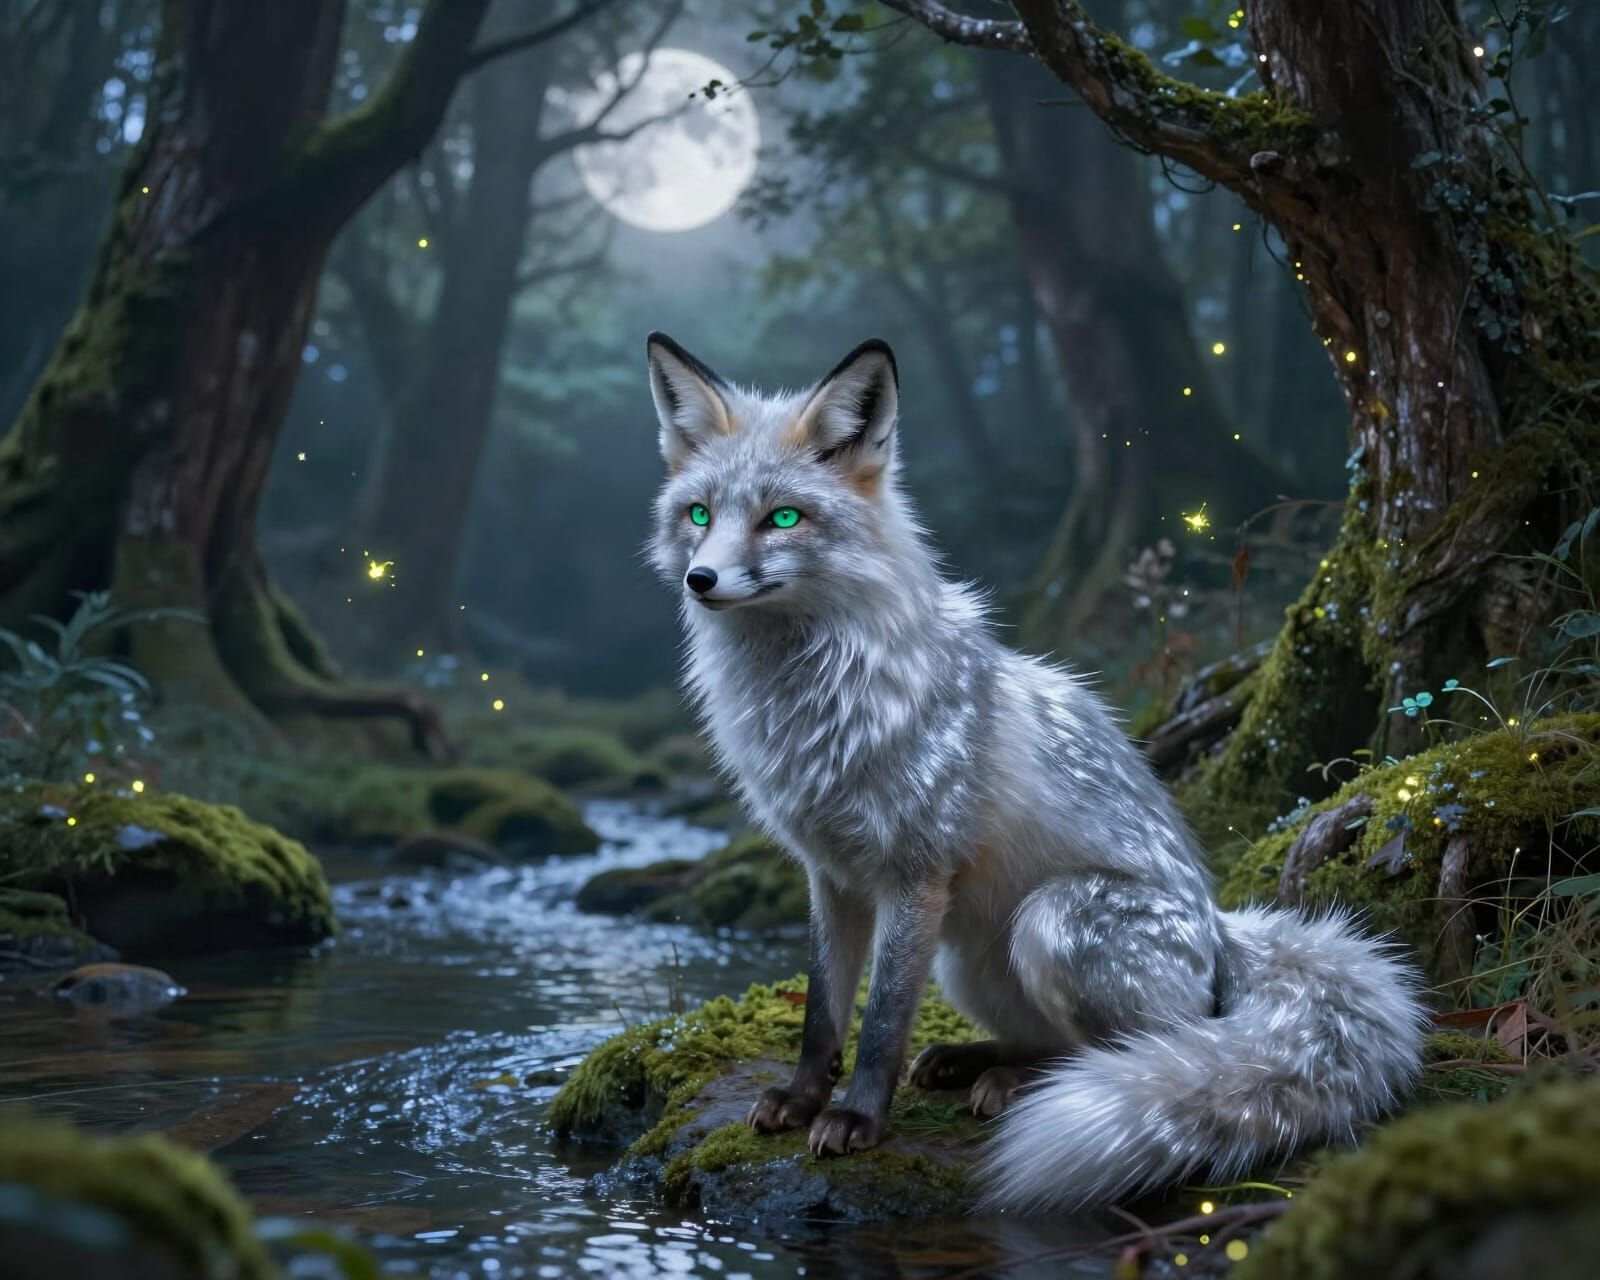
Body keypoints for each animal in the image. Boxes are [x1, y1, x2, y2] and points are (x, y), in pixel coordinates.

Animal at [643, 330, 1428, 1210]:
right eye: (699, 514)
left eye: (782, 517)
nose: (700, 580)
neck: (813, 706)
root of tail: (1224, 931)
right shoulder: (831, 872)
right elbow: (823, 1011)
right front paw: (803, 1098)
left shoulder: (916, 870)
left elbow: (880, 1023)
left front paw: (857, 1119)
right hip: (967, 959)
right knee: (1046, 1040)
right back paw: (977, 1061)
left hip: (1052, 922)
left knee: (1146, 1050)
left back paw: (1020, 1085)